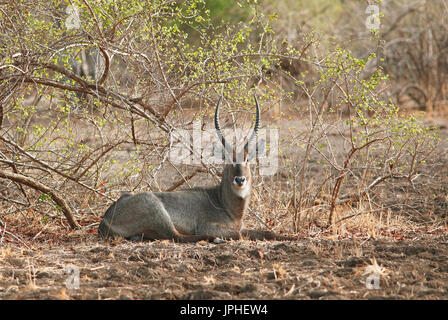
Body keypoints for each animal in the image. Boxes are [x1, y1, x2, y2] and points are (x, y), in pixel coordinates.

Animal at [98, 95, 292, 242]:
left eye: (247, 160)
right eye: (228, 160)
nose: (240, 179)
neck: (224, 203)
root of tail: (107, 218)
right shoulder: (208, 225)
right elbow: (244, 233)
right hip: (157, 211)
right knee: (178, 237)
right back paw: (214, 239)